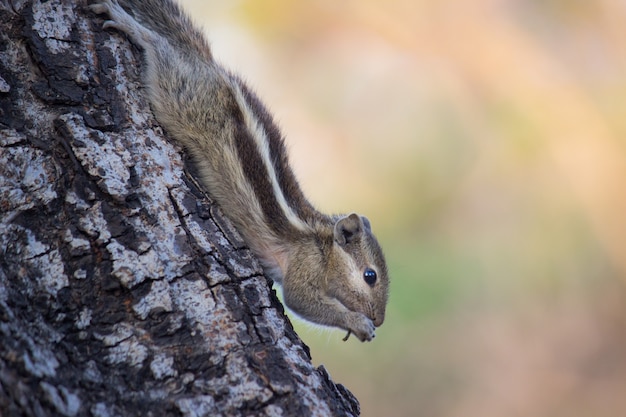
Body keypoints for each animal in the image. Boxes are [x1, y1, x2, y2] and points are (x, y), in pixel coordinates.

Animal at [89, 0, 388, 342]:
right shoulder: (304, 266)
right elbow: (301, 301)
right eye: (370, 276)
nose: (379, 320)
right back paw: (129, 26)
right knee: (161, 50)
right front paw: (357, 322)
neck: (322, 243)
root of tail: (206, 62)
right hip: (181, 95)